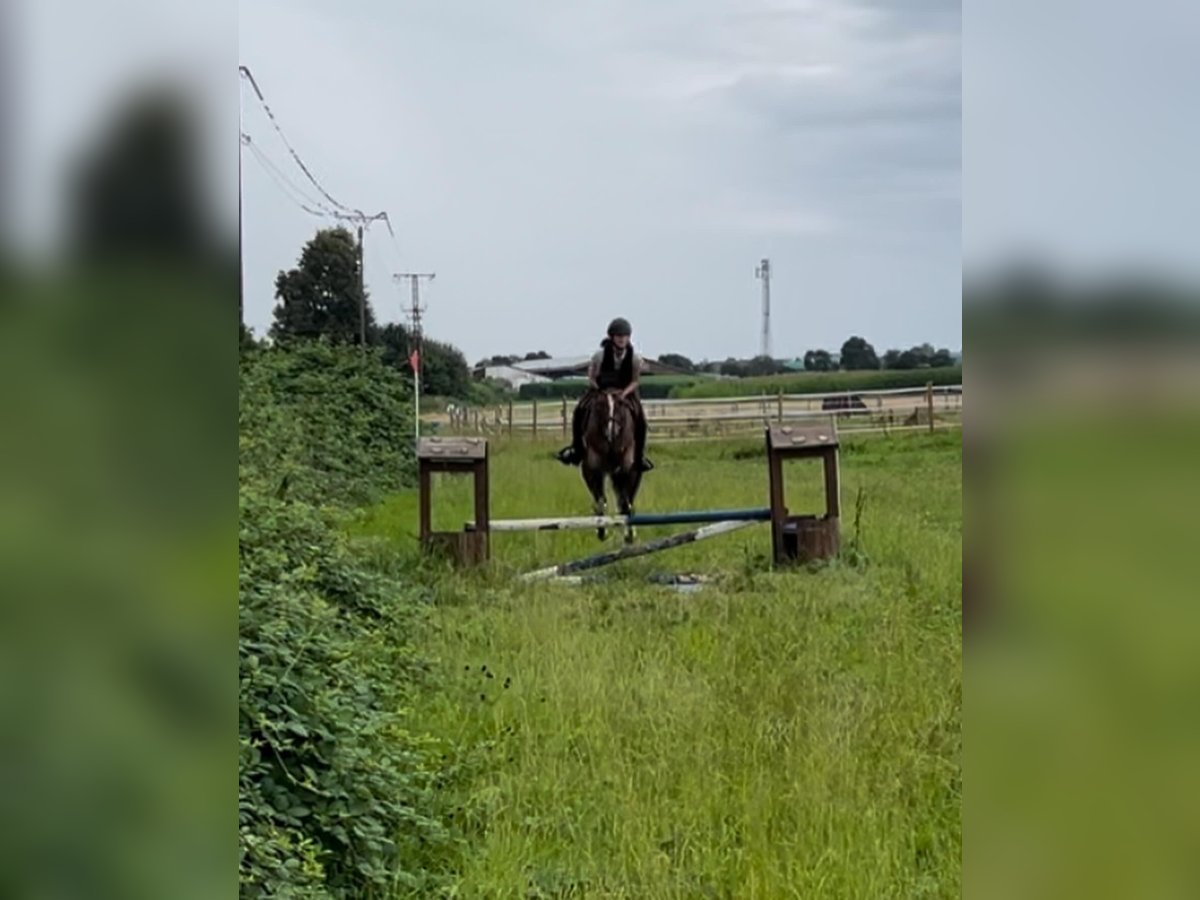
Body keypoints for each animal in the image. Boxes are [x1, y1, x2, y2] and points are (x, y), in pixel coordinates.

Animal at [576, 388, 643, 542]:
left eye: (621, 406)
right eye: (600, 407)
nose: (611, 432)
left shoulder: (627, 468)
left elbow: (625, 502)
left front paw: (629, 534)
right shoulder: (591, 469)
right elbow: (600, 500)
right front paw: (601, 531)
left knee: (627, 500)